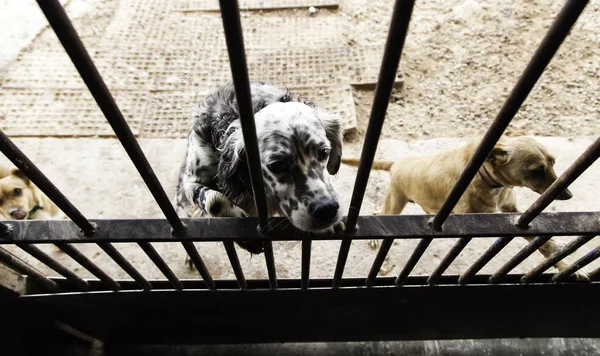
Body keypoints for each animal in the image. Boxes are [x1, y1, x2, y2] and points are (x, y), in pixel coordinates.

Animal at [342, 136, 584, 280]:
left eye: (553, 162)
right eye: (536, 170)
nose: (569, 195)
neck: (488, 178)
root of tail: (396, 163)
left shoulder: (516, 216)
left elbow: (544, 244)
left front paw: (565, 265)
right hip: (395, 202)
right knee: (380, 214)